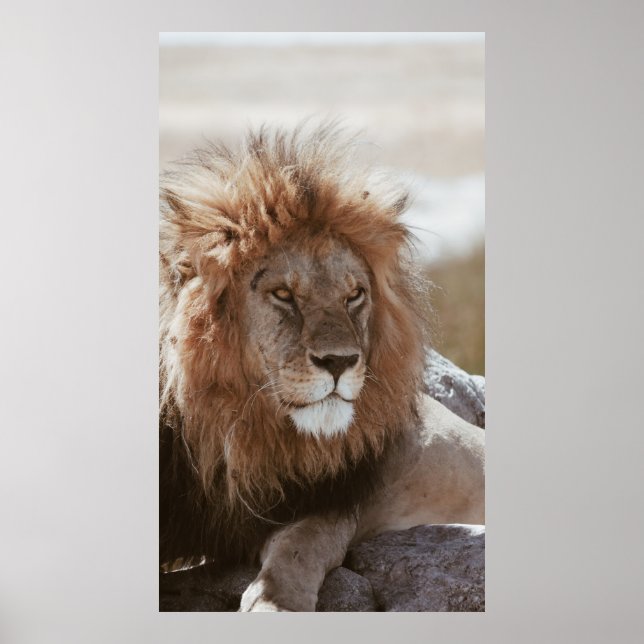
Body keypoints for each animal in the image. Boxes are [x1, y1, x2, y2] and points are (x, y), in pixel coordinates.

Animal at [159, 122, 485, 611]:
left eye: (354, 295)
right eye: (283, 295)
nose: (340, 361)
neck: (232, 428)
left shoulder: (329, 499)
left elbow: (302, 545)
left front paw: (275, 603)